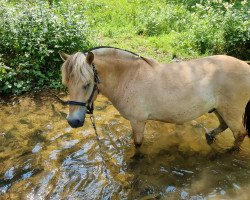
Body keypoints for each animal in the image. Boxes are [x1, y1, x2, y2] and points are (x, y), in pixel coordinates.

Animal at [59, 45, 250, 152]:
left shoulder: (138, 121)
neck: (129, 77)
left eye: (87, 84)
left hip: (231, 111)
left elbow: (137, 145)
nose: (73, 121)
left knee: (239, 134)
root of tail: (245, 65)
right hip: (218, 109)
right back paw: (210, 137)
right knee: (224, 125)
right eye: (67, 84)